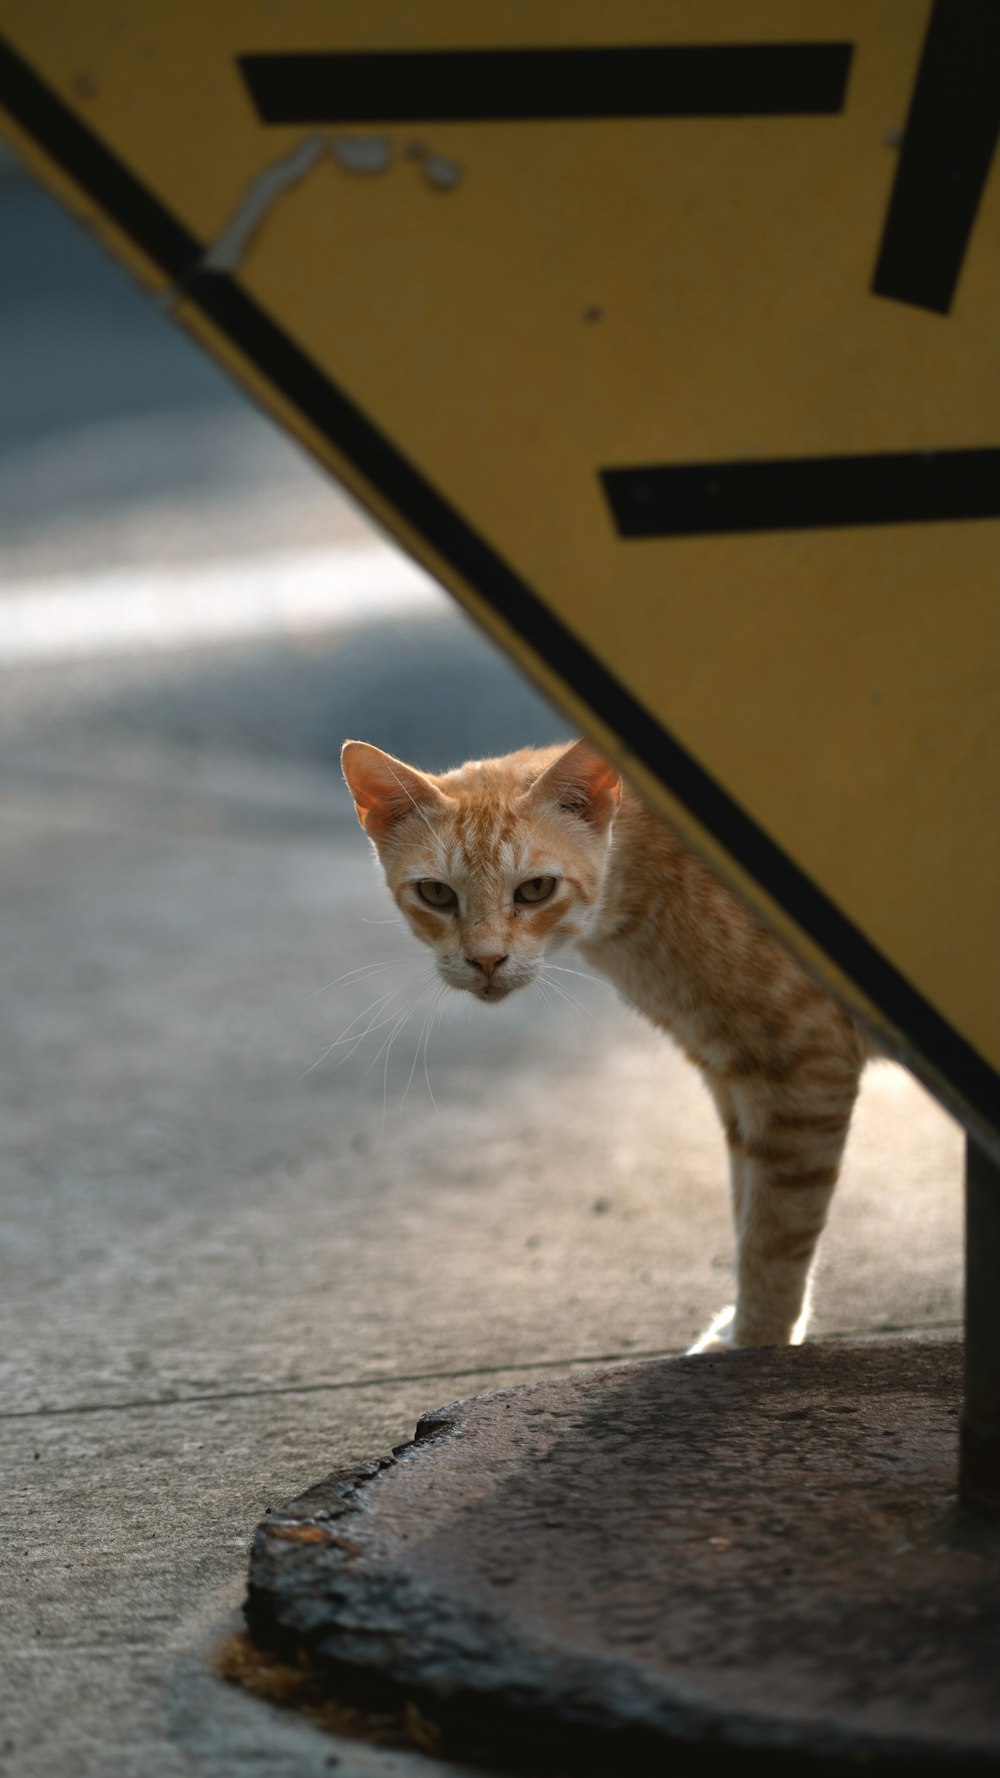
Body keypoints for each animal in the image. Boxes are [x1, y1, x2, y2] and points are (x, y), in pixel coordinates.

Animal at [338, 736, 868, 1344]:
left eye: (536, 888)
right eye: (436, 894)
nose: (486, 961)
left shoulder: (806, 1073)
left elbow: (775, 1236)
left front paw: (757, 1345)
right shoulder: (740, 1083)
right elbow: (747, 1211)